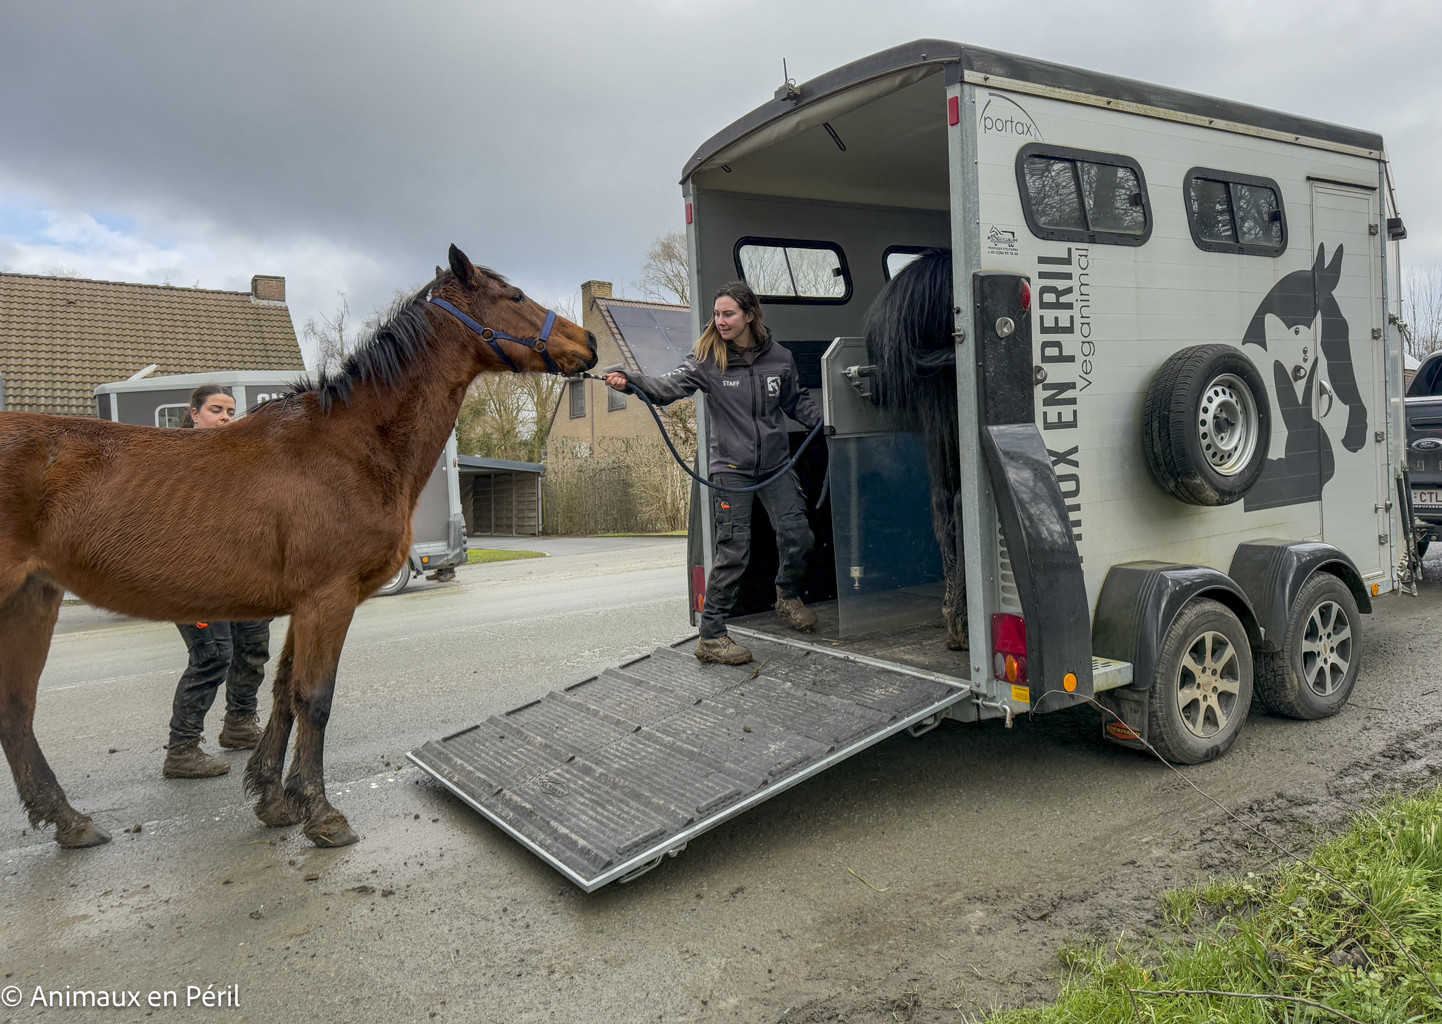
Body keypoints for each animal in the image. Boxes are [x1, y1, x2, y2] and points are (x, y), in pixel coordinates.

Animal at [0, 245, 597, 849]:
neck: (351, 443)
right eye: (515, 296)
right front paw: (320, 810)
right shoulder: (328, 598)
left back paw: (68, 820)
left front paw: (272, 798)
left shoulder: (302, 605)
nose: (587, 343)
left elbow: (284, 691)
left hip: (33, 598)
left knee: (16, 709)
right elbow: (315, 698)